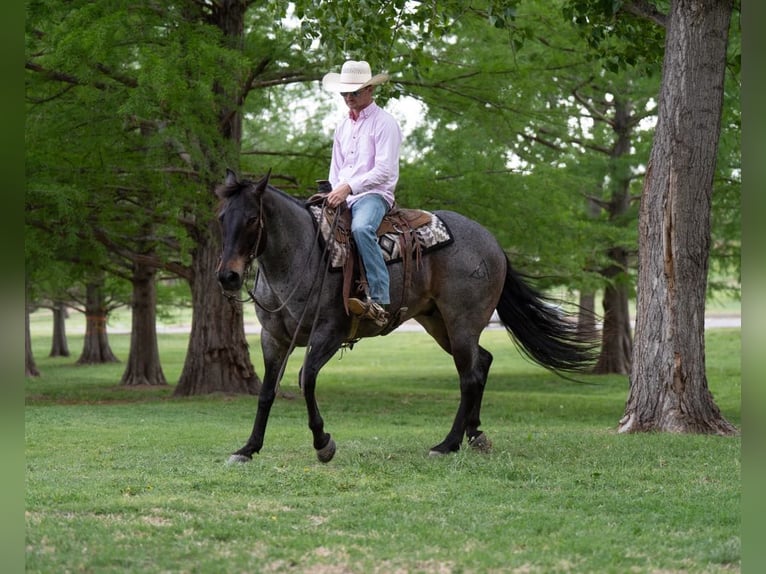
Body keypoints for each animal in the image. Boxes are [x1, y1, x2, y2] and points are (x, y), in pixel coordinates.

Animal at [216, 169, 600, 466]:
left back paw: (447, 444)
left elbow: (305, 380)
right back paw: (475, 434)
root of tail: (491, 241)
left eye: (252, 218)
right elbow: (267, 392)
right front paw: (248, 448)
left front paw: (323, 444)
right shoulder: (274, 339)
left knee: (469, 376)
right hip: (438, 323)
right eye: (221, 218)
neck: (302, 256)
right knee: (483, 362)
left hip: (462, 322)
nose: (228, 277)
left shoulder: (330, 333)